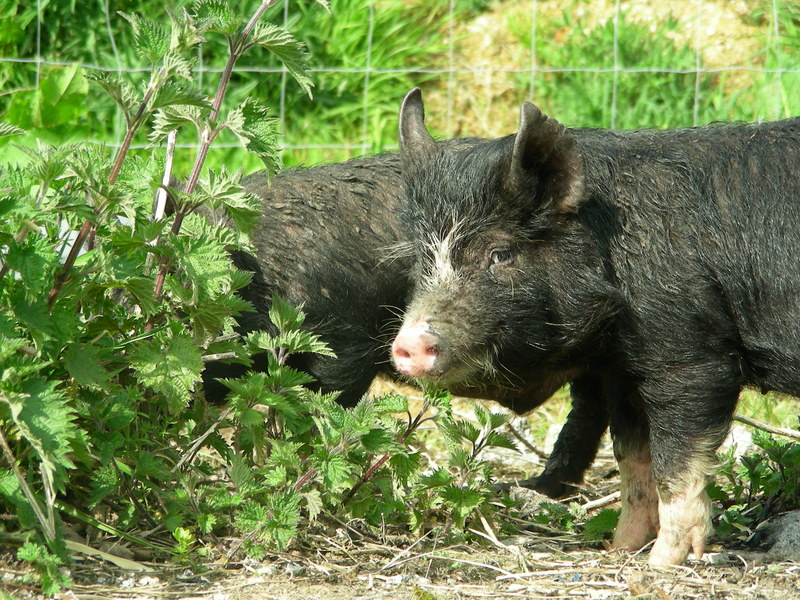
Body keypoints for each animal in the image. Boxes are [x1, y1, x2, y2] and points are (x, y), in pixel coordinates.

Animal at [392, 86, 800, 564]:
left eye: (500, 254)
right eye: (421, 258)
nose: (409, 342)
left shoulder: (691, 355)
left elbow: (674, 460)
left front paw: (660, 564)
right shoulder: (622, 369)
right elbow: (632, 455)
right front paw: (618, 549)